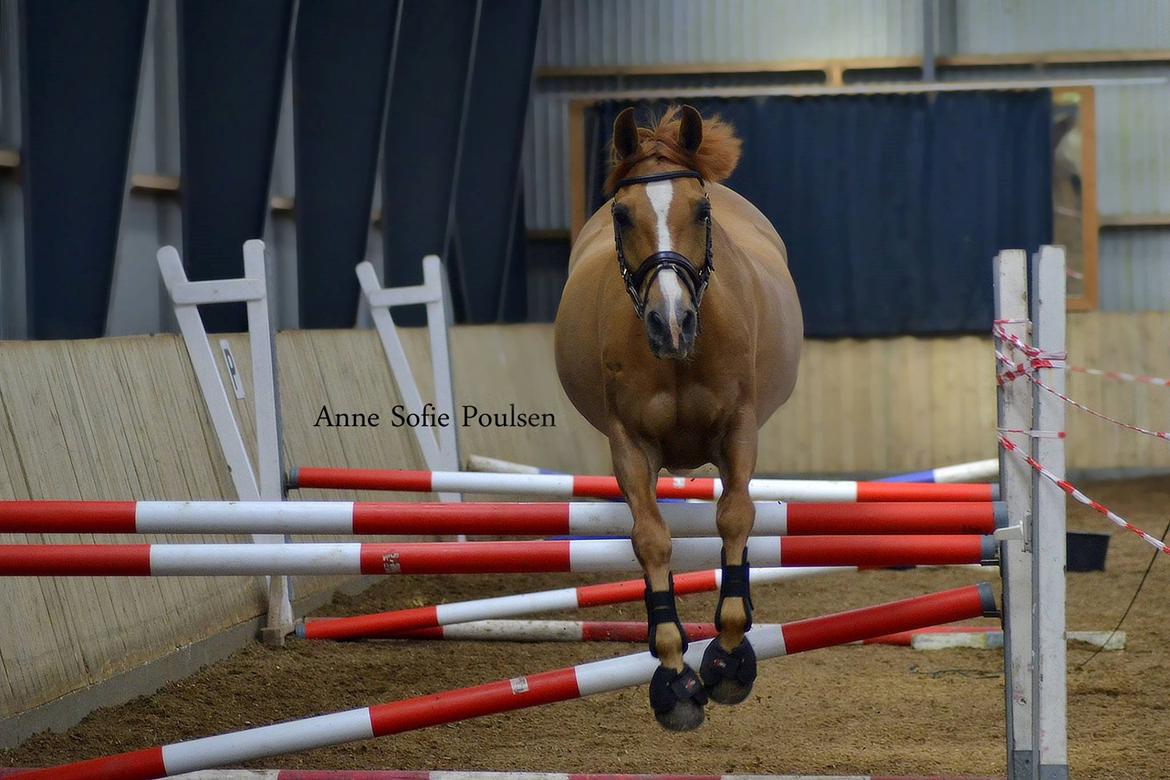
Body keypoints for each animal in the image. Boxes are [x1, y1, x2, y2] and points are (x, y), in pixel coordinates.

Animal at [552, 105, 800, 734]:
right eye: (622, 214)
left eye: (701, 210)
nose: (671, 322)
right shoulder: (629, 444)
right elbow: (652, 539)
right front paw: (674, 674)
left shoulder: (739, 429)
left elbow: (735, 516)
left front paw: (730, 658)